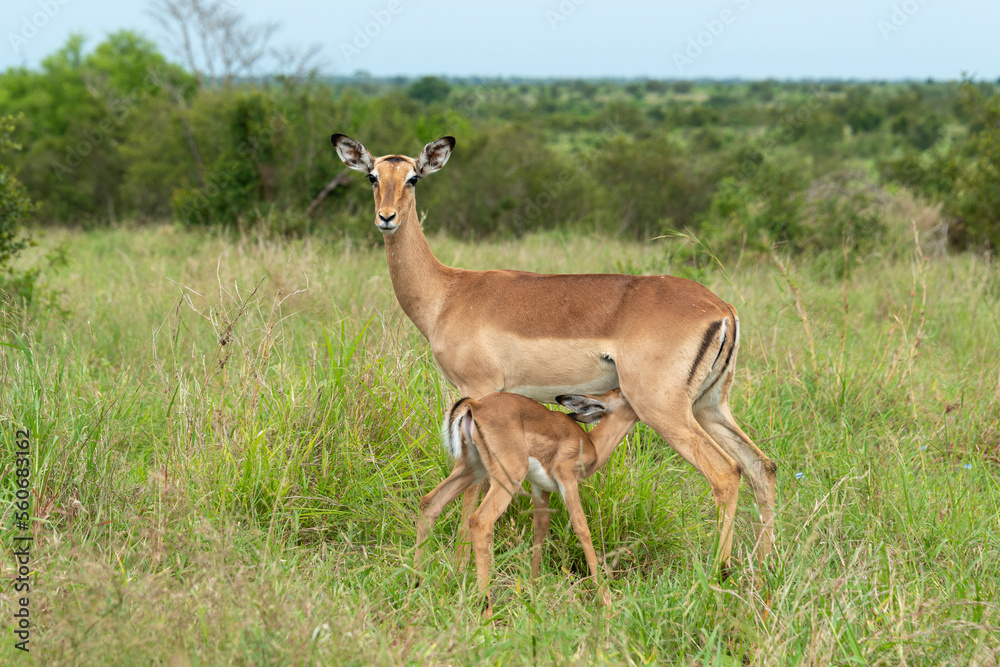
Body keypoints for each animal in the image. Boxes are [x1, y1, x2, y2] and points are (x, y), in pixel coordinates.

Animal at [330, 134, 776, 572]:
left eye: (413, 178)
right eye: (372, 176)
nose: (386, 217)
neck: (448, 293)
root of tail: (722, 309)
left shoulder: (478, 389)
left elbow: (472, 490)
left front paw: (458, 568)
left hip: (662, 408)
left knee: (726, 473)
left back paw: (719, 572)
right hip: (709, 405)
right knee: (761, 467)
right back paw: (763, 567)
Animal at [415, 389, 638, 618]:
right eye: (623, 394)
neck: (591, 443)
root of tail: (476, 405)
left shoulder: (541, 489)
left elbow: (540, 529)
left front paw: (532, 588)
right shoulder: (567, 479)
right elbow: (581, 527)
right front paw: (605, 600)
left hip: (473, 469)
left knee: (430, 503)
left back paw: (416, 586)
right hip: (507, 477)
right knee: (479, 520)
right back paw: (487, 612)